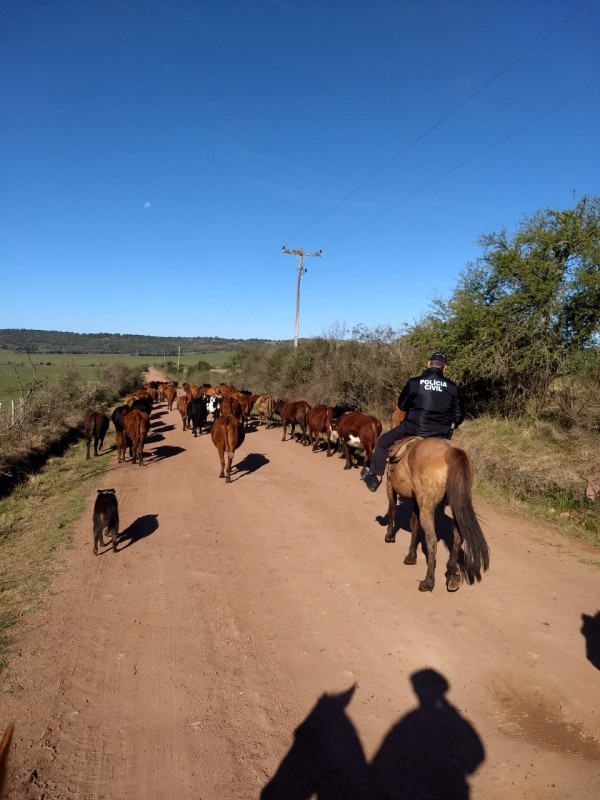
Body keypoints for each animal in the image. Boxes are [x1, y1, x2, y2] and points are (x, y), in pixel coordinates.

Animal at [382, 438, 490, 592]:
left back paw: (428, 582)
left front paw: (390, 536)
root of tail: (450, 450)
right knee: (458, 536)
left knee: (432, 540)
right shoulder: (417, 499)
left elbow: (392, 511)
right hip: (453, 503)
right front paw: (411, 556)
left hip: (427, 504)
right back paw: (451, 575)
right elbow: (414, 523)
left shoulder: (390, 486)